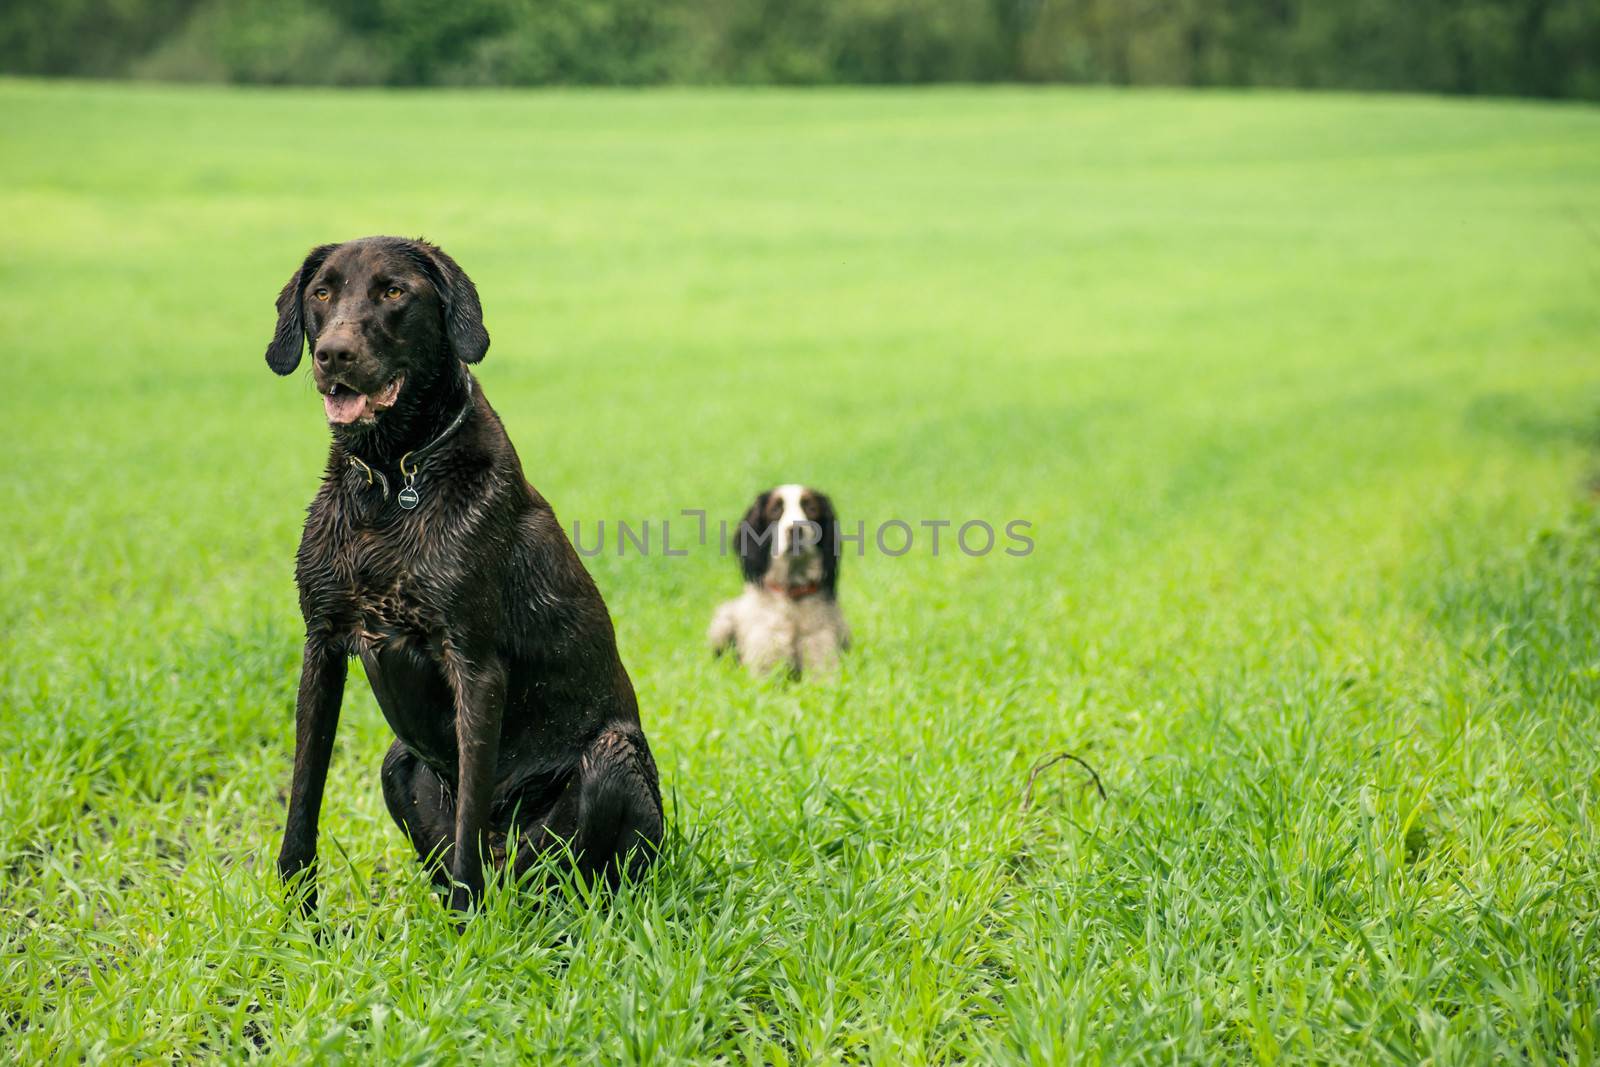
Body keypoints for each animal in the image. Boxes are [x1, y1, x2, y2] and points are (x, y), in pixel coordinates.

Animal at [267, 238, 662, 915]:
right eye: (321, 292)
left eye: (393, 291)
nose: (333, 354)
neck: (390, 480)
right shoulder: (322, 645)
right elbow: (302, 800)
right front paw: (297, 923)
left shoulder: (474, 664)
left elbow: (469, 820)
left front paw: (464, 922)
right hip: (397, 759)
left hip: (612, 760)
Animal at [710, 483, 851, 675]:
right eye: (775, 510)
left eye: (811, 508)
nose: (795, 530)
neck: (792, 593)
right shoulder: (763, 664)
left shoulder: (822, 656)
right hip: (723, 620)